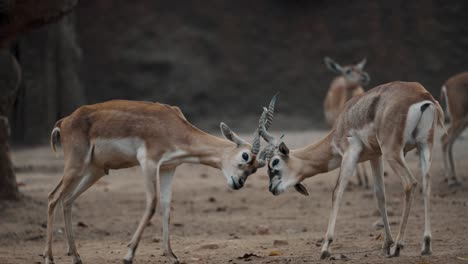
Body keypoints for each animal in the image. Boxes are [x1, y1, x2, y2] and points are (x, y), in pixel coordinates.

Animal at [43, 96, 278, 264]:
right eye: (245, 156)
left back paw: (76, 256)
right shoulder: (148, 162)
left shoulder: (168, 168)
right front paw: (128, 255)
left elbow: (166, 205)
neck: (173, 127)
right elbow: (152, 203)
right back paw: (49, 258)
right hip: (76, 166)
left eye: (255, 169)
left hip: (95, 171)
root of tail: (65, 121)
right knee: (53, 197)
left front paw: (171, 255)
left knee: (67, 200)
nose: (238, 183)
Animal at [260, 82, 446, 258]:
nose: (271, 188)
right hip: (424, 146)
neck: (343, 122)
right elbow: (380, 195)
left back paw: (399, 246)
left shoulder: (350, 152)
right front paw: (386, 244)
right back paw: (426, 245)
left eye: (275, 162)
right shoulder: (375, 156)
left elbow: (337, 192)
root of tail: (422, 95)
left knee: (410, 183)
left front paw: (326, 247)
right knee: (426, 184)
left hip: (393, 151)